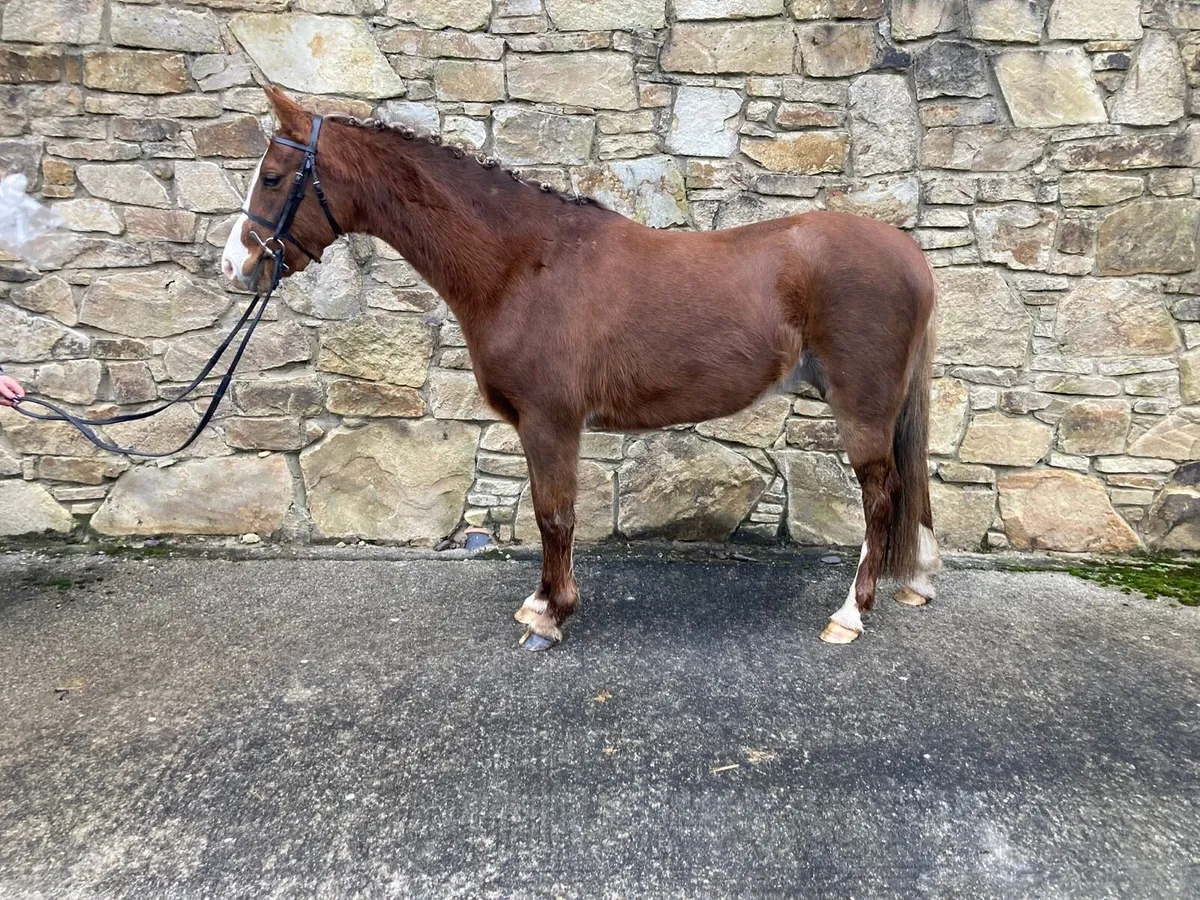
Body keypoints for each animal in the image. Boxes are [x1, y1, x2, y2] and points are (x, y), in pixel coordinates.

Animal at [222, 86, 942, 651]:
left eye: (275, 177)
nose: (235, 266)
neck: (522, 264)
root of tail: (909, 253)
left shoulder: (550, 421)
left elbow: (553, 514)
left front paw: (551, 614)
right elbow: (552, 513)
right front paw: (542, 603)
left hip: (862, 407)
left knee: (882, 497)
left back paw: (850, 614)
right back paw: (915, 583)